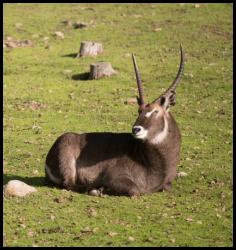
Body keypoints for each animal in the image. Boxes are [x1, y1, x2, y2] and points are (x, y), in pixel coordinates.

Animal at [44, 45, 184, 197]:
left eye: (156, 111)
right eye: (139, 110)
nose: (136, 129)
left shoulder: (167, 184)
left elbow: (167, 187)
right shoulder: (115, 177)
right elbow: (135, 190)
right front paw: (104, 189)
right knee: (68, 184)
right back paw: (94, 189)